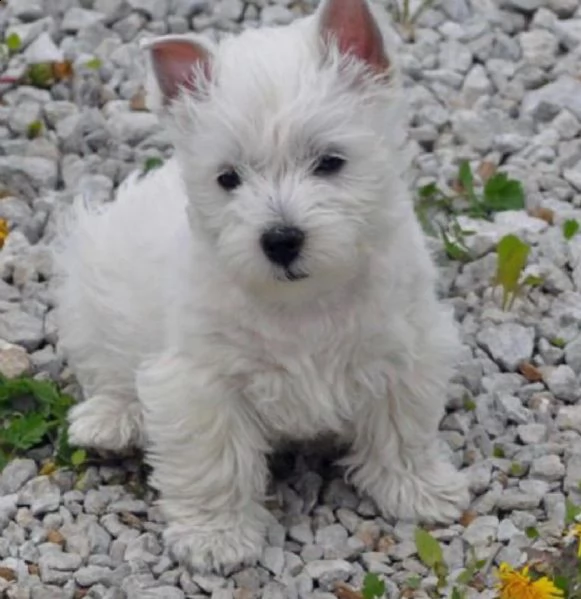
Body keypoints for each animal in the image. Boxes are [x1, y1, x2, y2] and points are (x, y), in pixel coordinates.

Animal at [54, 0, 468, 576]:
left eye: (330, 161)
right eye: (228, 178)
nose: (281, 240)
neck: (305, 303)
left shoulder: (404, 353)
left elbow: (402, 430)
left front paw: (420, 490)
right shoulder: (202, 382)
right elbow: (215, 462)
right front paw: (215, 538)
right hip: (88, 288)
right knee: (106, 369)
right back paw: (110, 421)